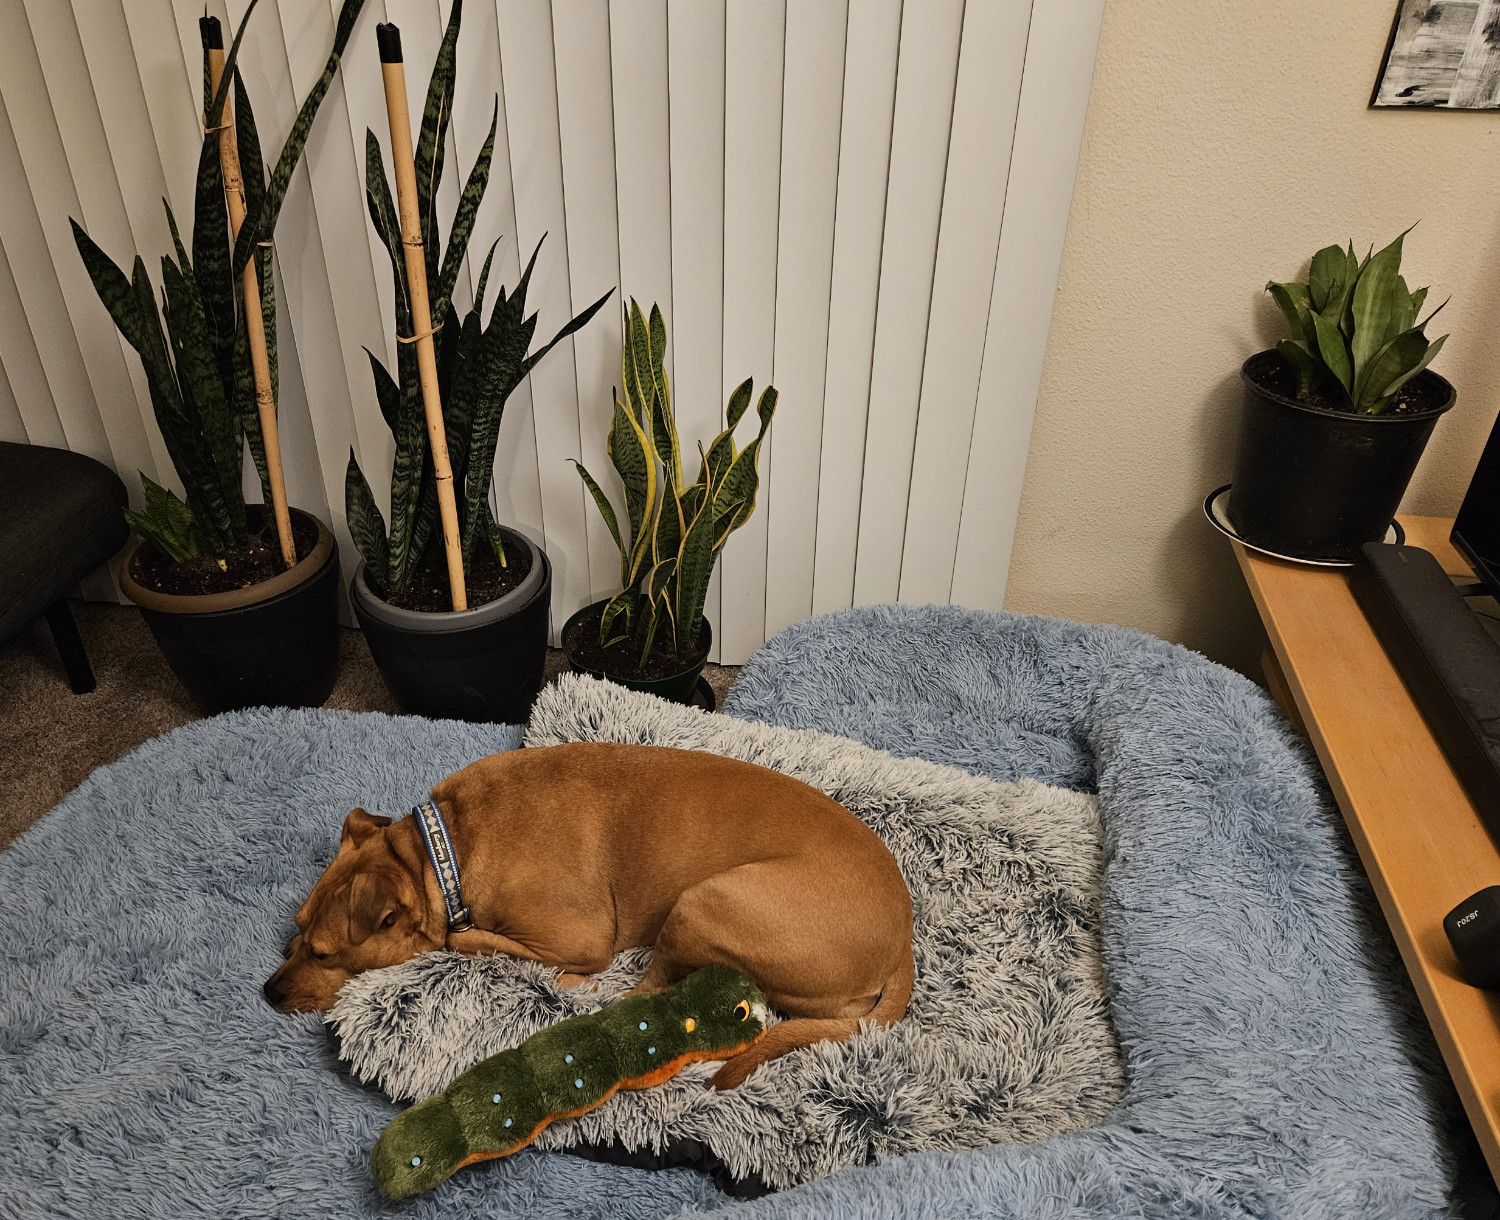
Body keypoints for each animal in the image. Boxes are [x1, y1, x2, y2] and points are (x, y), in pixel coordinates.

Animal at [262, 741, 906, 1086]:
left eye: (322, 952)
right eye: (294, 932)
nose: (269, 992)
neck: (439, 855)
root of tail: (904, 946)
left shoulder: (575, 940)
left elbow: (464, 939)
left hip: (702, 902)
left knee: (645, 991)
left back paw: (588, 996)